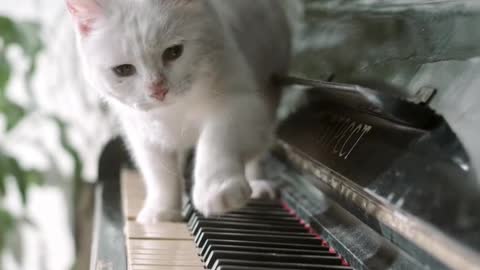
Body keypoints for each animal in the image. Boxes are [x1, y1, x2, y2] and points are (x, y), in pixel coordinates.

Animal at [65, 0, 290, 224]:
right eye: (123, 70)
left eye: (174, 52)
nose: (158, 90)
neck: (174, 111)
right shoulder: (142, 133)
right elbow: (159, 175)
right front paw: (162, 211)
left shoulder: (240, 103)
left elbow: (216, 141)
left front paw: (216, 190)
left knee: (258, 151)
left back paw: (258, 184)